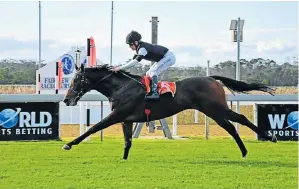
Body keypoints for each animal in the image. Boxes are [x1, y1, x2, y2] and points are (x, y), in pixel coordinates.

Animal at [62, 63, 278, 159]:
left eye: (76, 80)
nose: (66, 99)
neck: (121, 87)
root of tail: (211, 78)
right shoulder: (127, 119)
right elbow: (127, 142)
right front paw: (124, 160)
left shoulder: (117, 115)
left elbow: (93, 128)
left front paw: (69, 144)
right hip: (214, 110)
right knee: (235, 124)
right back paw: (250, 148)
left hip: (215, 109)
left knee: (238, 121)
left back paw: (266, 140)